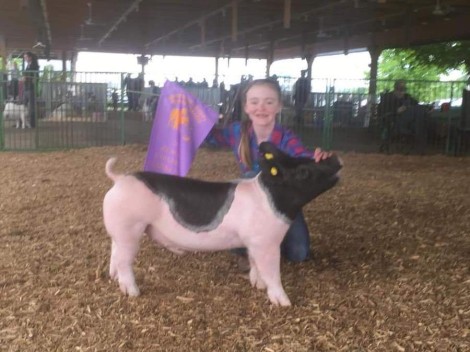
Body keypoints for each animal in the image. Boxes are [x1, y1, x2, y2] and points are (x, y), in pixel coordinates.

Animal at [103, 142, 342, 306]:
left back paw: (112, 277)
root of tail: (119, 179)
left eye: (302, 157)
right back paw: (133, 292)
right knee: (124, 261)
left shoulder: (253, 242)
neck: (270, 199)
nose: (334, 158)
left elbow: (255, 264)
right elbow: (272, 271)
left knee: (115, 253)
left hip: (121, 231)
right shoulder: (266, 242)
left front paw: (257, 285)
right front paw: (284, 303)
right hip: (130, 228)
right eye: (303, 172)